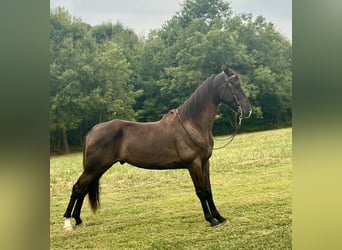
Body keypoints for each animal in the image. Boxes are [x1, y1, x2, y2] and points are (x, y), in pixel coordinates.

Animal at [63, 65, 251, 230]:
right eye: (235, 85)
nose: (248, 110)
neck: (192, 124)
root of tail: (93, 130)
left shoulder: (205, 163)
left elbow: (209, 191)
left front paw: (220, 217)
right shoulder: (194, 165)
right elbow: (201, 192)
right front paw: (211, 220)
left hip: (98, 169)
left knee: (83, 189)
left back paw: (78, 220)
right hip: (93, 168)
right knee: (77, 188)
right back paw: (67, 223)